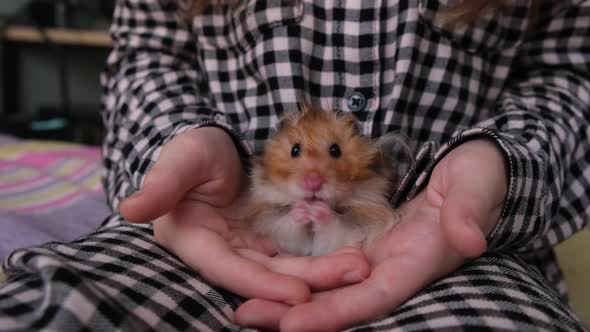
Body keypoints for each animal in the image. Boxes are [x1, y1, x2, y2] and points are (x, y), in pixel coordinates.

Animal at [245, 105, 402, 255]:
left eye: (335, 150)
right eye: (294, 150)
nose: (313, 183)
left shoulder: (351, 231)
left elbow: (335, 229)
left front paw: (318, 209)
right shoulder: (282, 234)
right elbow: (287, 227)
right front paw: (302, 208)